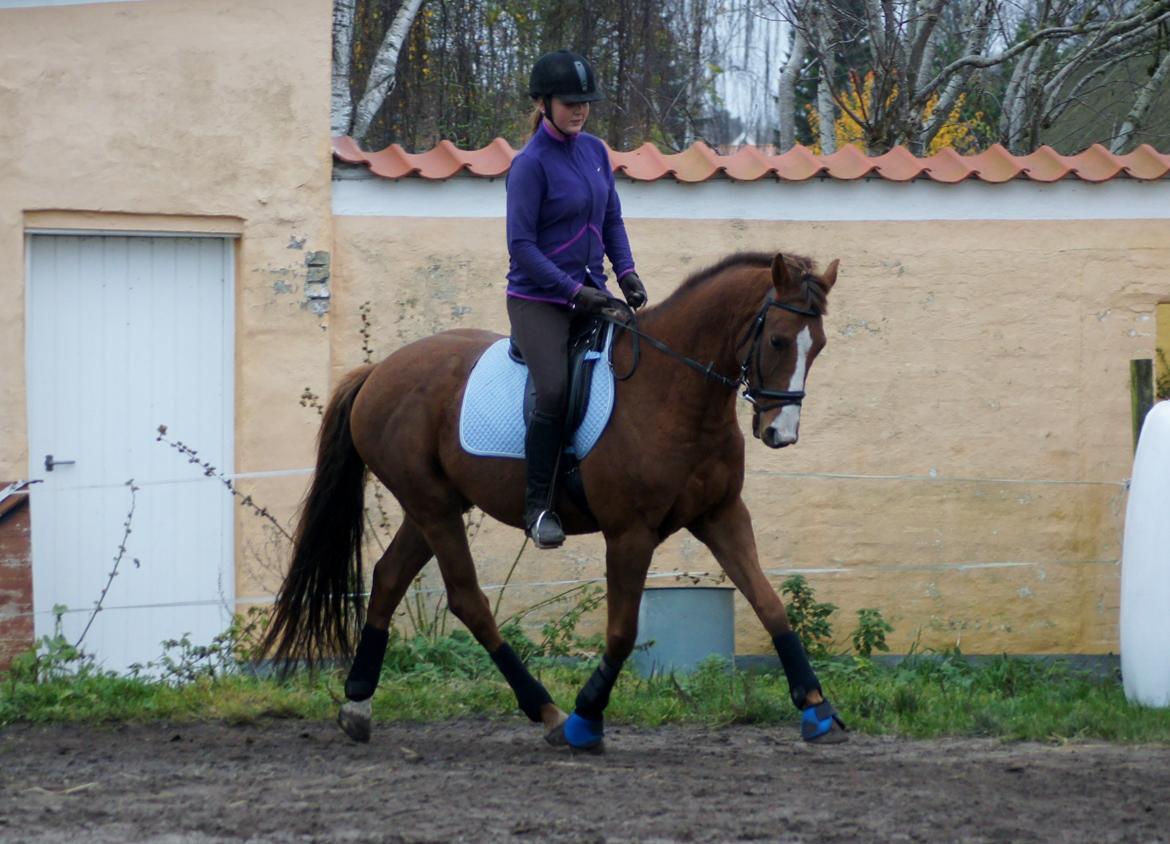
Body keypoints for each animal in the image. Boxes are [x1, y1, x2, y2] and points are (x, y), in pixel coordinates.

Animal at [264, 248, 847, 744]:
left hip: (434, 506)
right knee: (468, 600)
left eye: (817, 346)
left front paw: (816, 709)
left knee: (388, 578)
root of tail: (378, 371)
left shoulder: (721, 515)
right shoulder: (630, 533)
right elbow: (622, 631)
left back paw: (358, 704)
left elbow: (770, 604)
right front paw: (587, 717)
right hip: (433, 507)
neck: (672, 391)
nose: (780, 433)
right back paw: (549, 711)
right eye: (778, 341)